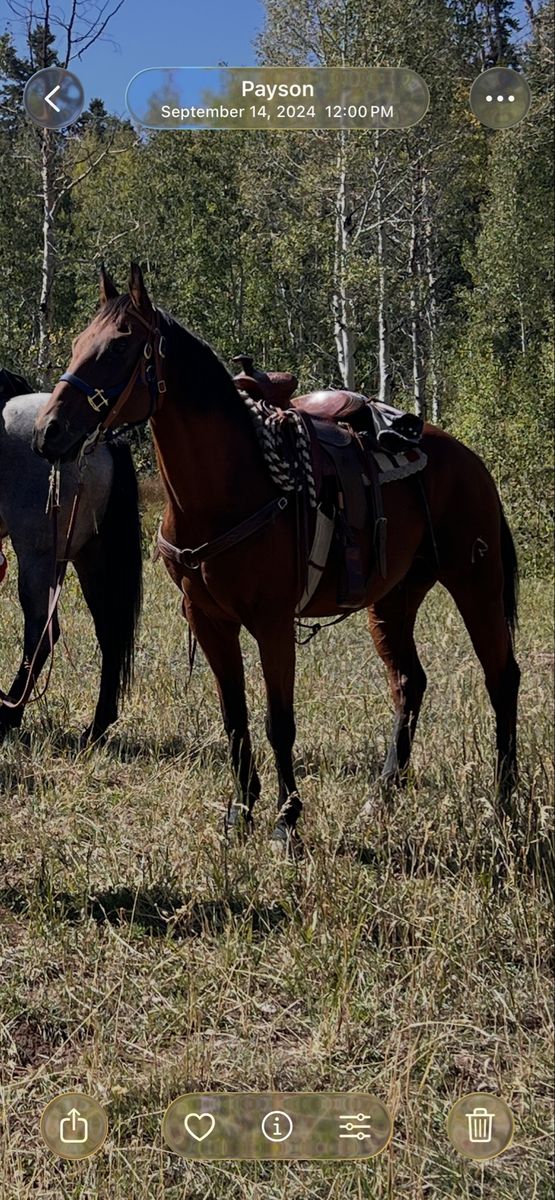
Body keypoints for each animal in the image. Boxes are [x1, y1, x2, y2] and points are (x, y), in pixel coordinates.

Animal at [1, 372, 142, 743]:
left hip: (39, 558)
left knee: (41, 634)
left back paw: (8, 716)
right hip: (89, 556)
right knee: (108, 630)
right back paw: (97, 726)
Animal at [32, 265, 520, 853]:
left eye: (121, 345)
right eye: (79, 343)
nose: (48, 431)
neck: (226, 491)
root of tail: (471, 461)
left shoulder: (272, 623)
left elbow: (278, 721)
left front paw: (287, 820)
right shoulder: (209, 619)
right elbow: (235, 716)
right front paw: (241, 808)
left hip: (478, 583)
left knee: (502, 678)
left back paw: (504, 806)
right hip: (393, 600)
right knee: (409, 683)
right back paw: (381, 796)